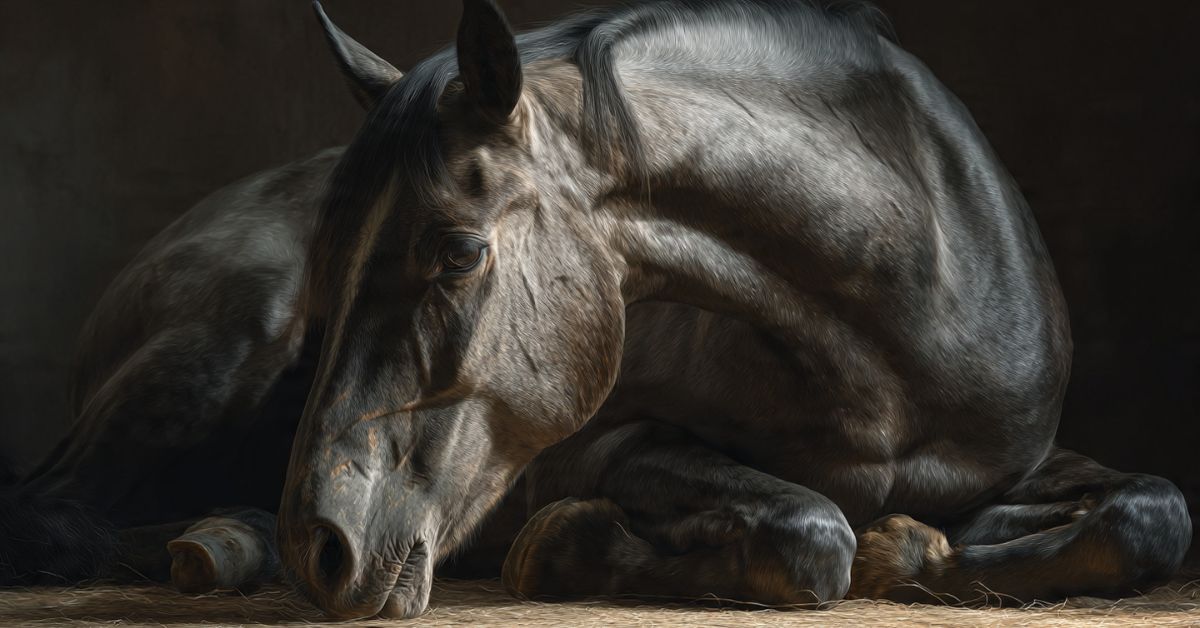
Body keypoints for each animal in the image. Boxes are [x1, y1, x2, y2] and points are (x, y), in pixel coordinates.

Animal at [1, 0, 1190, 620]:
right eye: (332, 268)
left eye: (459, 253)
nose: (321, 548)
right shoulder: (605, 445)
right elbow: (812, 532)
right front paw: (568, 546)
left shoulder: (1027, 462)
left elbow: (1154, 513)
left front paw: (926, 548)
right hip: (226, 348)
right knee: (50, 508)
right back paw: (227, 541)